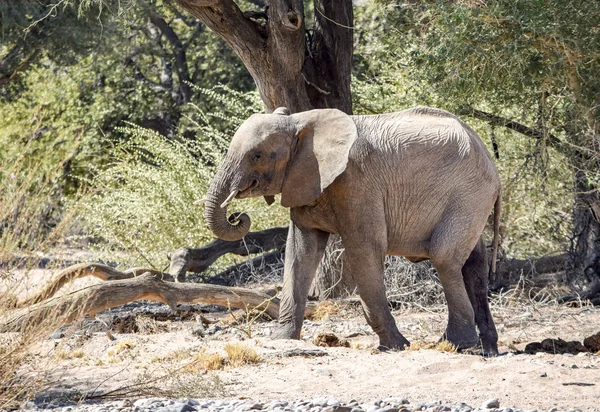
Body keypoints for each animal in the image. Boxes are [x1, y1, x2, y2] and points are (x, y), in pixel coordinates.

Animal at [203, 105, 502, 354]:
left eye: (257, 155)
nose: (236, 216)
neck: (299, 121)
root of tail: (489, 158)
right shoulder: (304, 181)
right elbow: (300, 252)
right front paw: (282, 340)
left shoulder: (357, 183)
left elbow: (364, 250)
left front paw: (395, 346)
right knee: (474, 263)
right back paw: (487, 349)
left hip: (469, 193)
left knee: (444, 258)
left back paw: (456, 344)